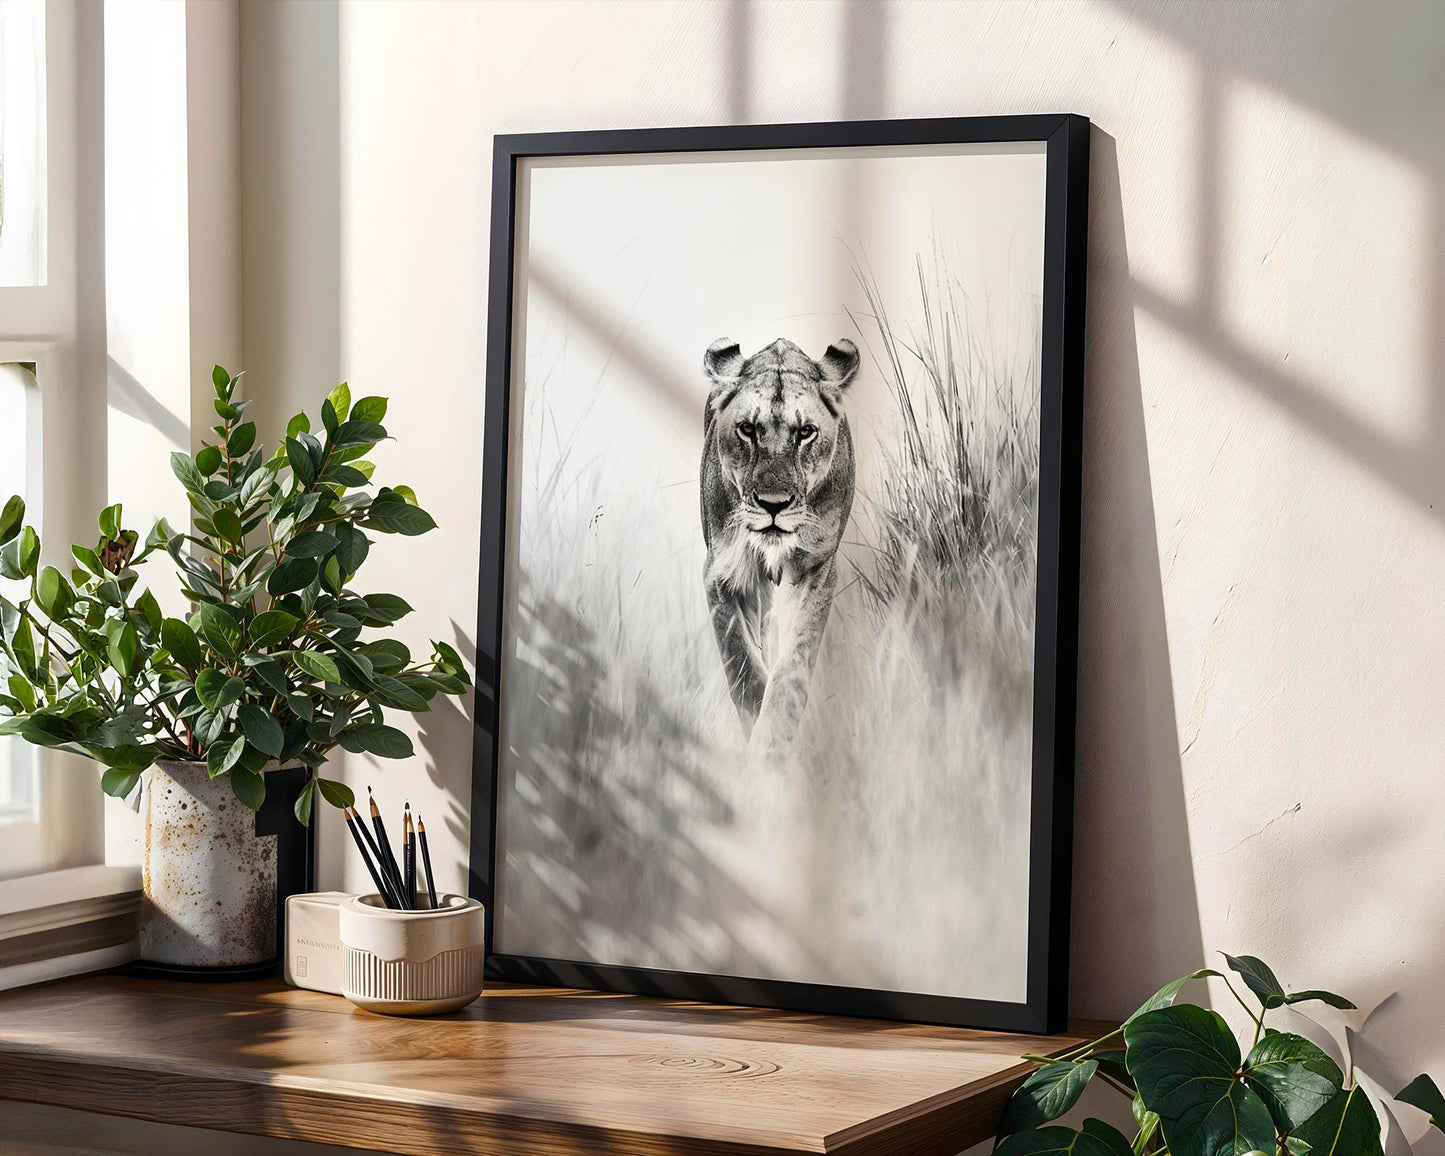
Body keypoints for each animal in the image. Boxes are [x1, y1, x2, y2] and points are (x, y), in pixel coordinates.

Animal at [700, 336, 860, 759]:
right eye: (747, 430)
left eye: (805, 432)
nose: (774, 504)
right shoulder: (721, 572)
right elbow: (740, 661)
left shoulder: (818, 569)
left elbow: (793, 666)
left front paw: (771, 749)